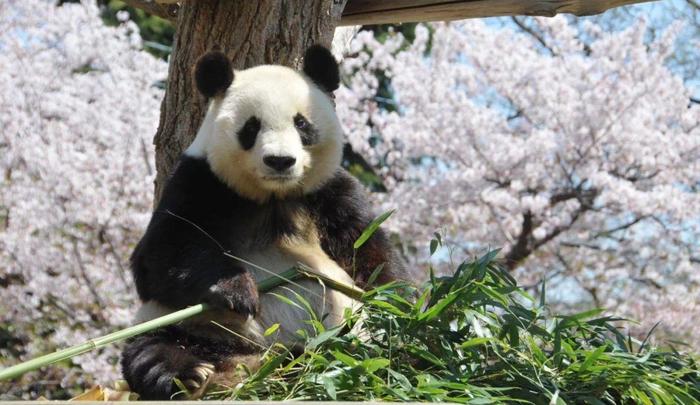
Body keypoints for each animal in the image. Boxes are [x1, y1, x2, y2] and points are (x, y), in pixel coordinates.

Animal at [122, 45, 402, 400]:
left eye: (301, 124)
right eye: (251, 127)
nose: (280, 161)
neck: (273, 196)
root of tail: (254, 367)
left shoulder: (331, 193)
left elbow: (371, 255)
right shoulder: (201, 181)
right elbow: (159, 257)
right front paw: (238, 291)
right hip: (191, 326)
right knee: (150, 346)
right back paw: (185, 372)